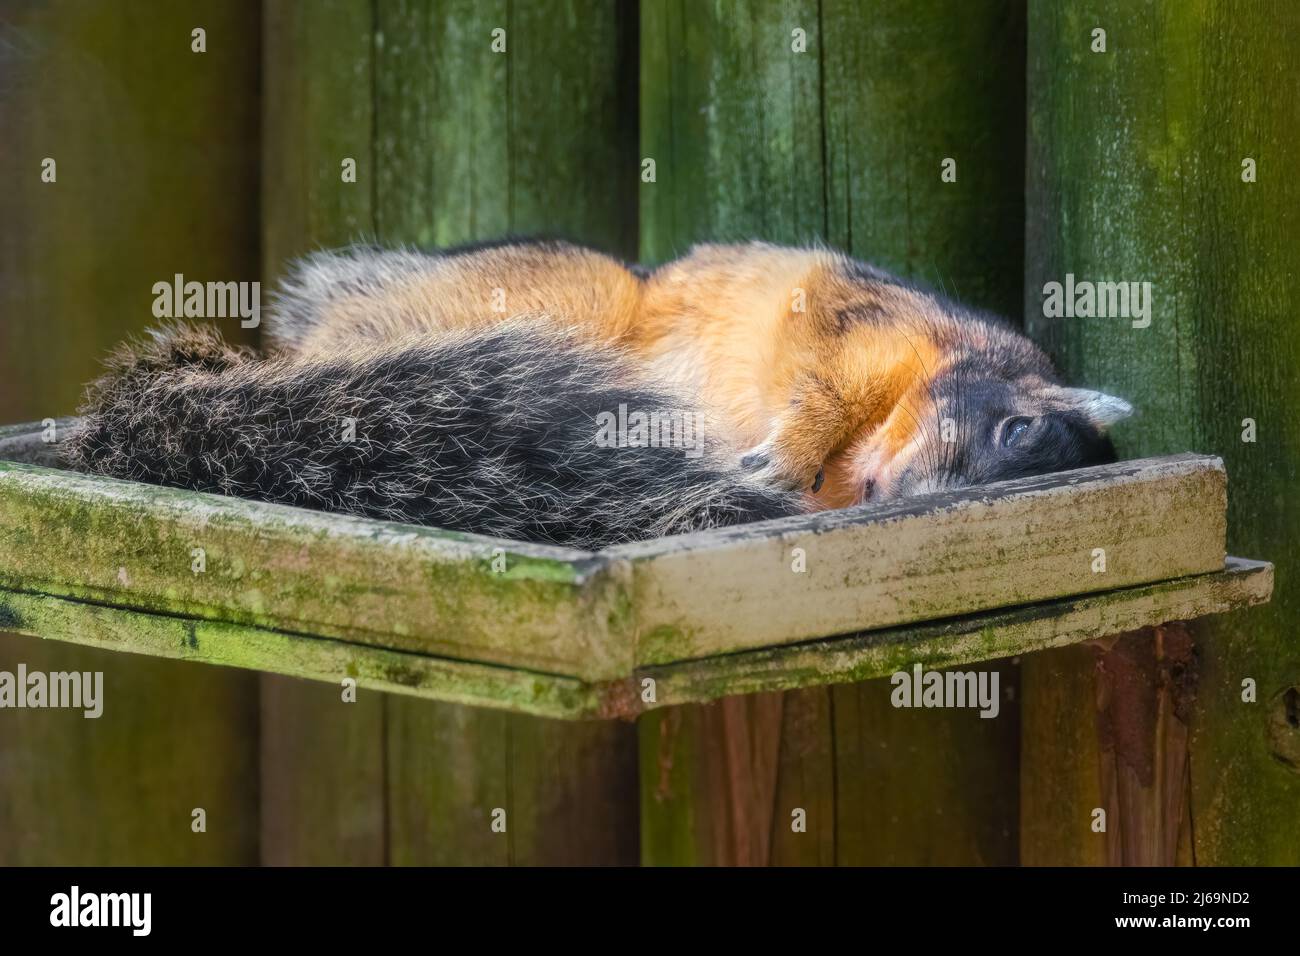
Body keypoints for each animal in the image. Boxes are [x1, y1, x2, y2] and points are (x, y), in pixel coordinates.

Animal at [65, 239, 1133, 548]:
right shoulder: (855, 313)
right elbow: (821, 374)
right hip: (572, 299)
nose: (899, 502)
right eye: (1015, 426)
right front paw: (786, 449)